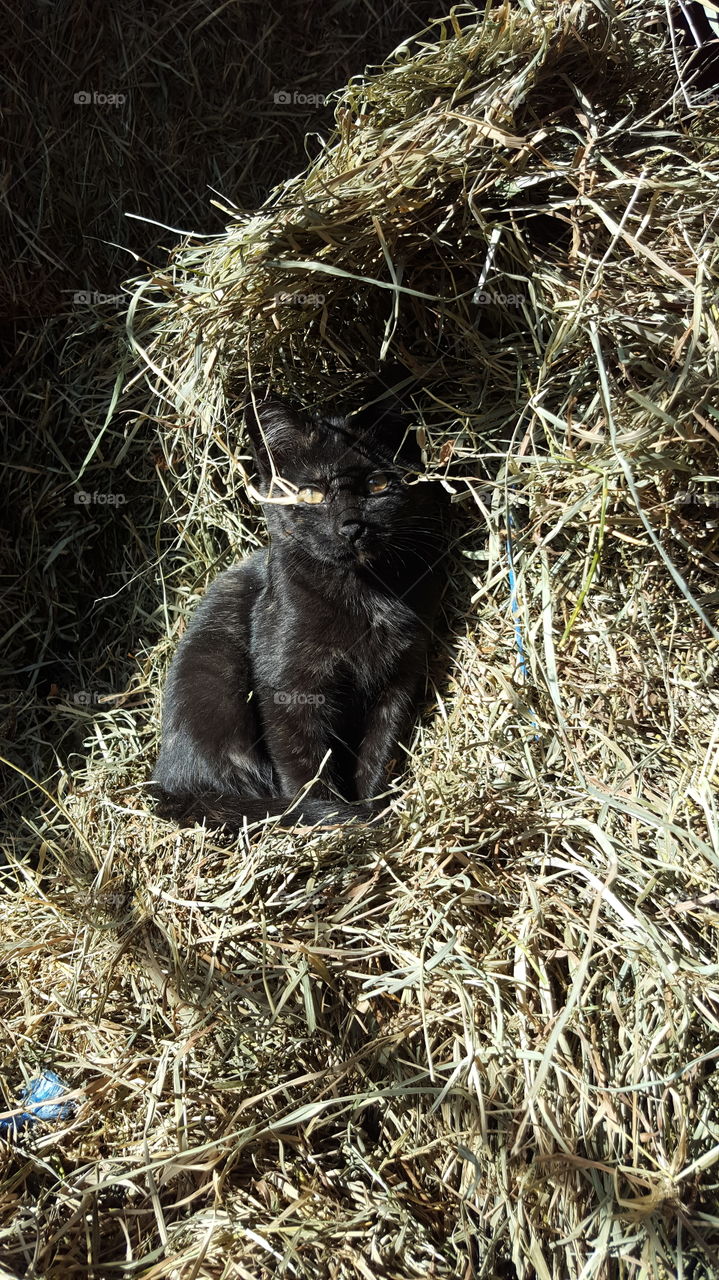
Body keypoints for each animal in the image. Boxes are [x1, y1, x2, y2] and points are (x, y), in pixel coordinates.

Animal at [150, 386, 447, 829]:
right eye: (311, 494)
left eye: (377, 483)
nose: (352, 526)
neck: (364, 592)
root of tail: (167, 784)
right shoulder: (289, 688)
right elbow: (305, 766)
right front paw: (334, 819)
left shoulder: (398, 680)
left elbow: (377, 753)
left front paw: (371, 808)